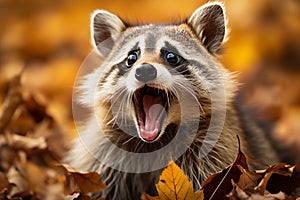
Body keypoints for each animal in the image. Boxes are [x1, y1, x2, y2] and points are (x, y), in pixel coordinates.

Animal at [66, 1, 282, 200]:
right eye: (131, 58)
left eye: (171, 56)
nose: (144, 71)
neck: (156, 141)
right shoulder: (103, 153)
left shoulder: (216, 150)